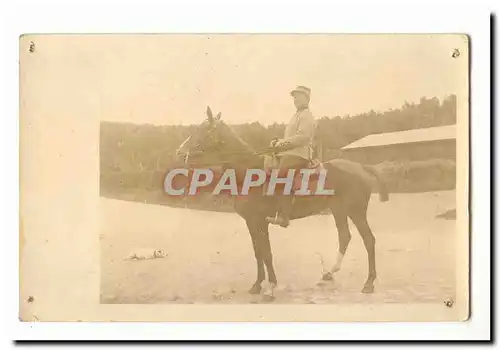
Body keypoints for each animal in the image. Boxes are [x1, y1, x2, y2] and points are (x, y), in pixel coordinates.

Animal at [174, 106, 388, 300]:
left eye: (203, 130)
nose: (179, 152)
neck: (250, 174)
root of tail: (361, 167)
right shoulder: (251, 222)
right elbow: (258, 252)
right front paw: (257, 285)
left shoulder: (260, 221)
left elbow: (267, 253)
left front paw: (270, 288)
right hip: (339, 211)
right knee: (345, 237)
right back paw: (328, 274)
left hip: (356, 211)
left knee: (369, 240)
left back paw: (369, 283)